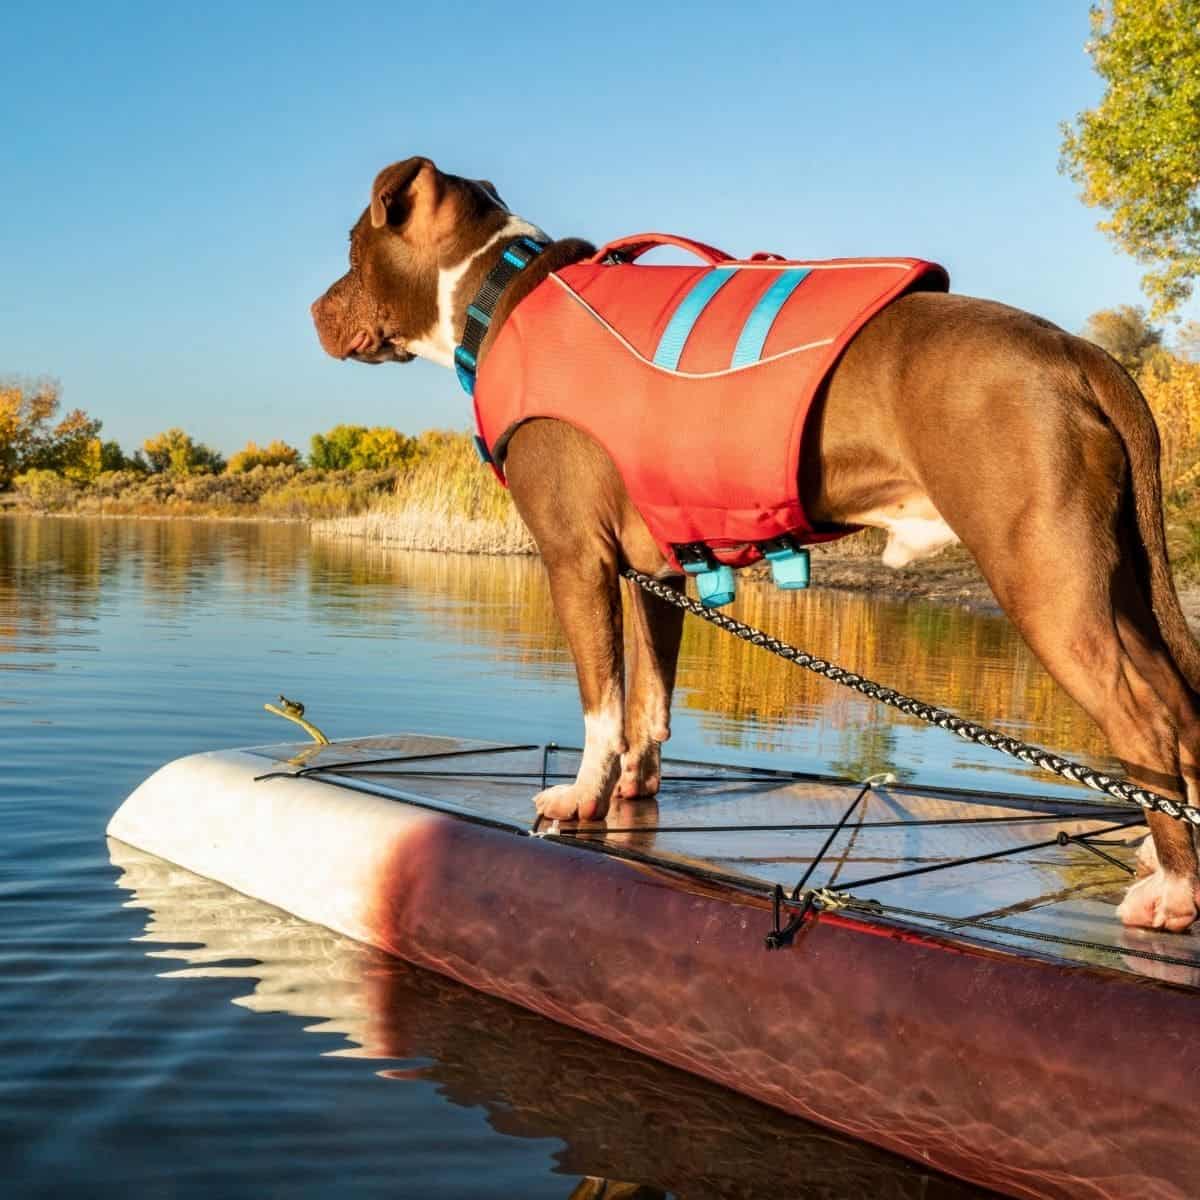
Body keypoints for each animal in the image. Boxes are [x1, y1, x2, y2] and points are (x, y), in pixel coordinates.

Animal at [314, 154, 1200, 931]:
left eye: (352, 252)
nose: (316, 309)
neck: (496, 292)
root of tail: (1076, 352)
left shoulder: (576, 559)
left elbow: (603, 701)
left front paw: (581, 797)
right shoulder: (653, 574)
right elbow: (650, 698)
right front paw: (635, 788)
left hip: (1043, 577)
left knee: (1145, 722)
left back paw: (1171, 895)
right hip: (1113, 581)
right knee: (1182, 709)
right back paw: (1163, 861)